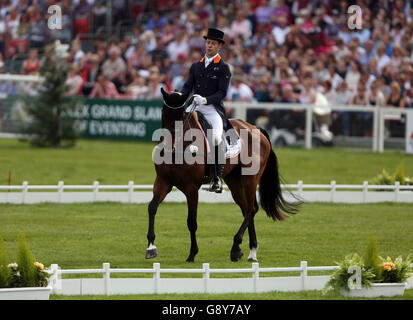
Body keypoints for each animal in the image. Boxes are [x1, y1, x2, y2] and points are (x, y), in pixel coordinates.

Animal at [144, 89, 296, 262]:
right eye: (164, 112)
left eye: (181, 115)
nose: (168, 146)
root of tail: (255, 128)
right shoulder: (163, 181)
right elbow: (152, 207)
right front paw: (151, 247)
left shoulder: (191, 189)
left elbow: (191, 222)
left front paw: (192, 253)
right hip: (235, 182)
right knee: (246, 209)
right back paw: (249, 251)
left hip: (250, 179)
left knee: (251, 209)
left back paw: (237, 248)